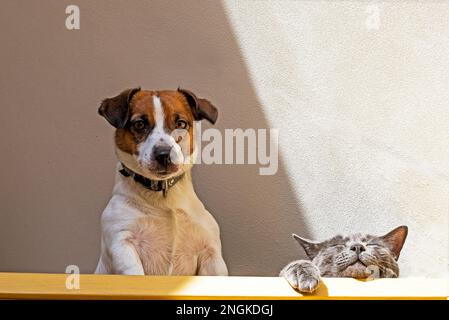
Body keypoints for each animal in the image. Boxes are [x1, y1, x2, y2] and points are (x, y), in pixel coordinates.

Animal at [94, 87, 228, 276]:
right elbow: (133, 269)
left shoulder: (211, 252)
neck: (164, 199)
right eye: (139, 124)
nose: (164, 154)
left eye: (181, 124)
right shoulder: (120, 240)